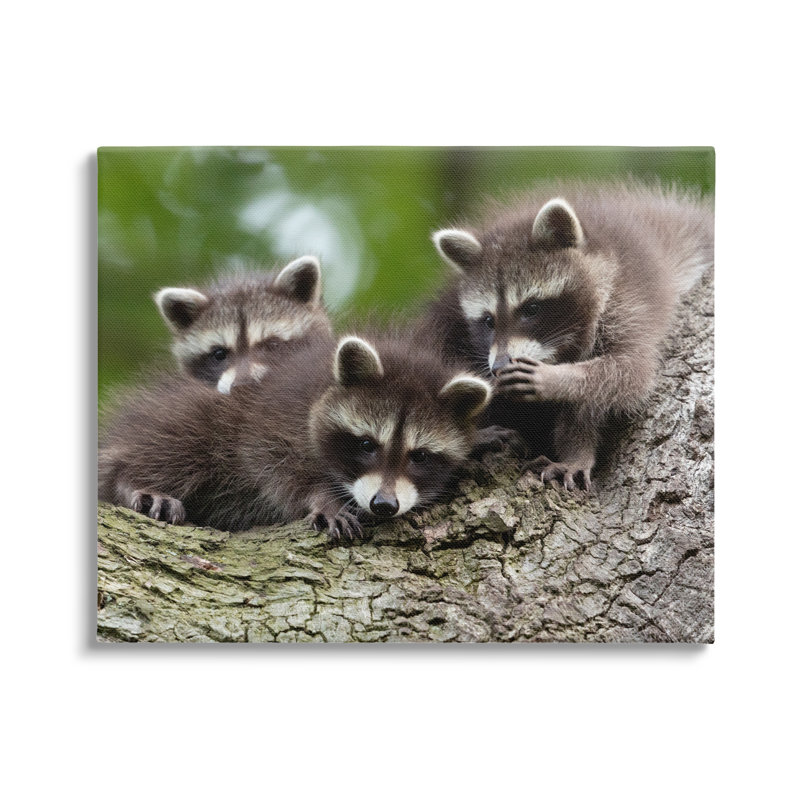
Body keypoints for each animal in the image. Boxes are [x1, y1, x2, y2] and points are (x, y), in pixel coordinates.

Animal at [98, 332, 491, 541]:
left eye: (419, 455)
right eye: (367, 444)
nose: (383, 504)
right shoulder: (275, 416)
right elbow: (273, 464)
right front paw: (322, 498)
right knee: (185, 437)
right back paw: (131, 479)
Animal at [428, 180, 714, 490]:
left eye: (531, 308)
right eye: (488, 320)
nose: (499, 366)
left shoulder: (628, 302)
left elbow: (629, 373)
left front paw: (558, 379)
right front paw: (576, 450)